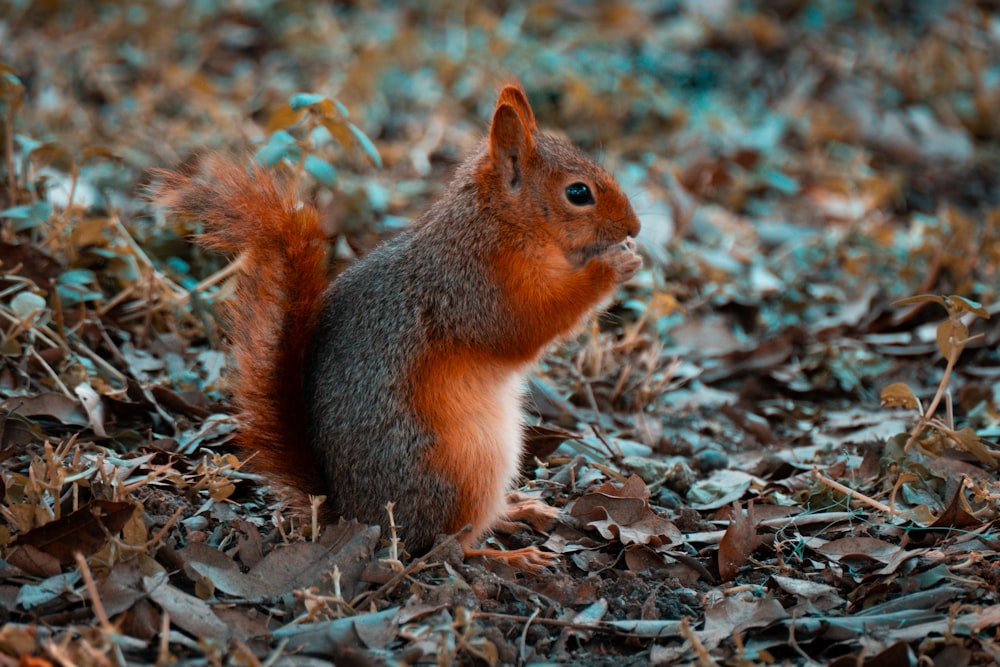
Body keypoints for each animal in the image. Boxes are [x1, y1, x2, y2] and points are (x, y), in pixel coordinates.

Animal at [156, 82, 640, 568]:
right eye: (578, 193)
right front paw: (611, 267)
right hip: (463, 468)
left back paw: (521, 509)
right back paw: (507, 555)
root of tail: (351, 512)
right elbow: (524, 325)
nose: (634, 227)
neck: (503, 223)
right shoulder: (473, 288)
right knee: (447, 545)